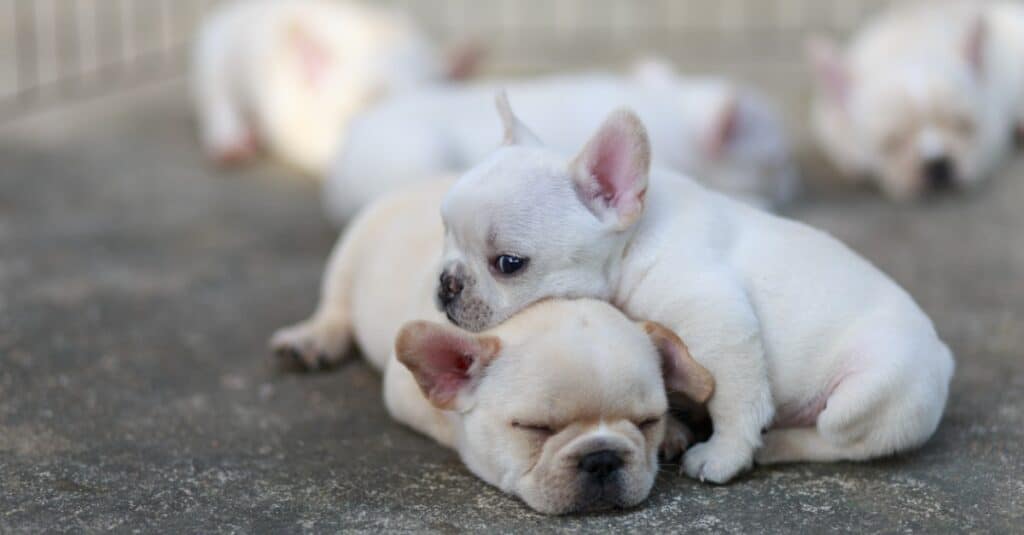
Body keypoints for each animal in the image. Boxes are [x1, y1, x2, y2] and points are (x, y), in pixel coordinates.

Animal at [272, 178, 720, 512]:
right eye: (535, 429)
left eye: (648, 422)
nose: (602, 457)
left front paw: (674, 430)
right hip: (349, 254)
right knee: (335, 304)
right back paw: (312, 339)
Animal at [436, 95, 954, 483]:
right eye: (444, 231)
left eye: (508, 264)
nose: (446, 283)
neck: (633, 244)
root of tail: (943, 356)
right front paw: (670, 431)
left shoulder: (719, 323)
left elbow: (735, 398)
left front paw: (723, 456)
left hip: (868, 393)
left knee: (839, 438)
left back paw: (777, 443)